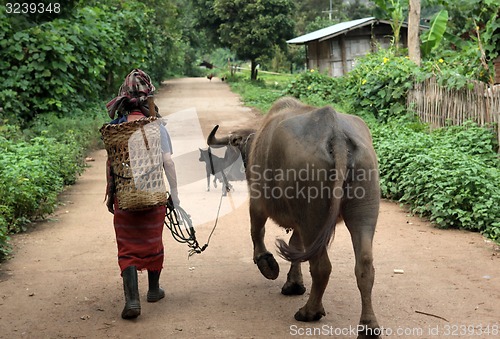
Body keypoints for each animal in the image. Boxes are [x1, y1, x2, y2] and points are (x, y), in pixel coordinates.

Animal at [209, 97, 380, 338]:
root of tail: (335, 131)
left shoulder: (258, 201)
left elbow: (257, 231)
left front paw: (267, 264)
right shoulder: (299, 221)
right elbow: (295, 246)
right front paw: (294, 283)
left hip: (312, 217)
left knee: (321, 266)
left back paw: (310, 312)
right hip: (364, 207)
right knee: (364, 265)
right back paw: (368, 326)